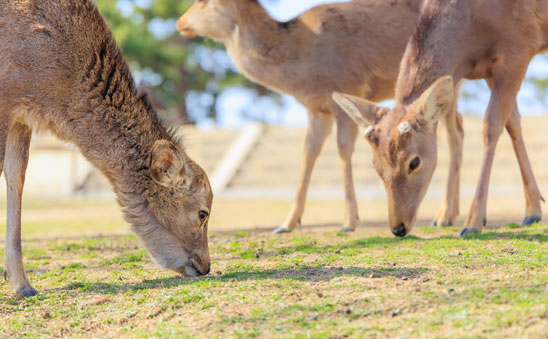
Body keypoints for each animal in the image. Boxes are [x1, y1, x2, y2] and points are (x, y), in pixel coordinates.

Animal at [177, 0, 470, 234]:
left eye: (202, 1)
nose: (180, 23)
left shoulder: (344, 87)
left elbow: (342, 149)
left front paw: (349, 221)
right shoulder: (316, 109)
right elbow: (309, 152)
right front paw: (287, 224)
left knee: (454, 132)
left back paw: (444, 215)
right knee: (457, 129)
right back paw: (449, 214)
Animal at [334, 0, 548, 238]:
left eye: (414, 162)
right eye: (376, 165)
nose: (398, 227)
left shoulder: (519, 48)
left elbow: (490, 126)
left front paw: (473, 222)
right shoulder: (491, 70)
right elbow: (512, 123)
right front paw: (533, 210)